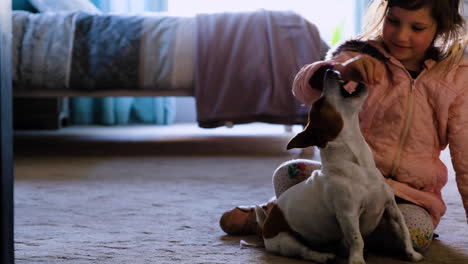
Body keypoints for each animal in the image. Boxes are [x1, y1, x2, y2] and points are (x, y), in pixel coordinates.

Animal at [254, 70, 422, 264]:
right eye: (319, 103)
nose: (328, 70)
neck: (361, 167)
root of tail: (265, 225)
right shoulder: (348, 214)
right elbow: (357, 239)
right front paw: (357, 260)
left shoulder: (392, 209)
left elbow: (404, 232)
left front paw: (411, 254)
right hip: (286, 240)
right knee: (305, 252)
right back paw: (323, 256)